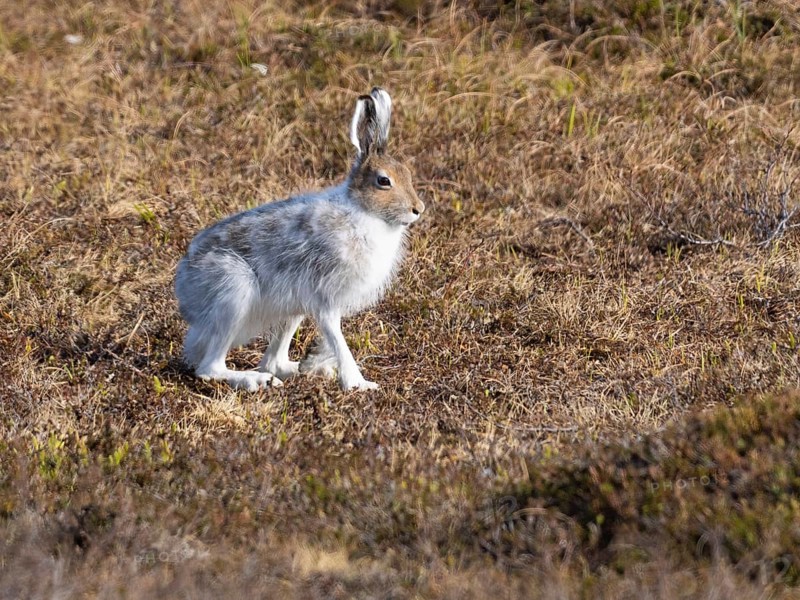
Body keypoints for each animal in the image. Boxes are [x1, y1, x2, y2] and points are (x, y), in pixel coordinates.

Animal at [174, 87, 425, 392]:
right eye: (384, 181)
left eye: (408, 174)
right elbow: (338, 340)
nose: (418, 209)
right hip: (233, 293)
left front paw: (322, 364)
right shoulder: (326, 298)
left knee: (273, 361)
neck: (364, 211)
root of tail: (184, 291)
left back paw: (304, 370)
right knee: (209, 368)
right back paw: (254, 380)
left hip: (290, 309)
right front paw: (359, 384)